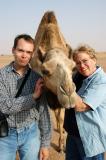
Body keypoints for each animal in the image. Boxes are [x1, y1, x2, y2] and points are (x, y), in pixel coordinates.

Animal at [30, 10, 75, 151]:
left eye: (73, 67)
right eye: (45, 71)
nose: (68, 92)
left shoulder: (59, 100)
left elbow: (61, 117)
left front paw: (62, 145)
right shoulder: (48, 95)